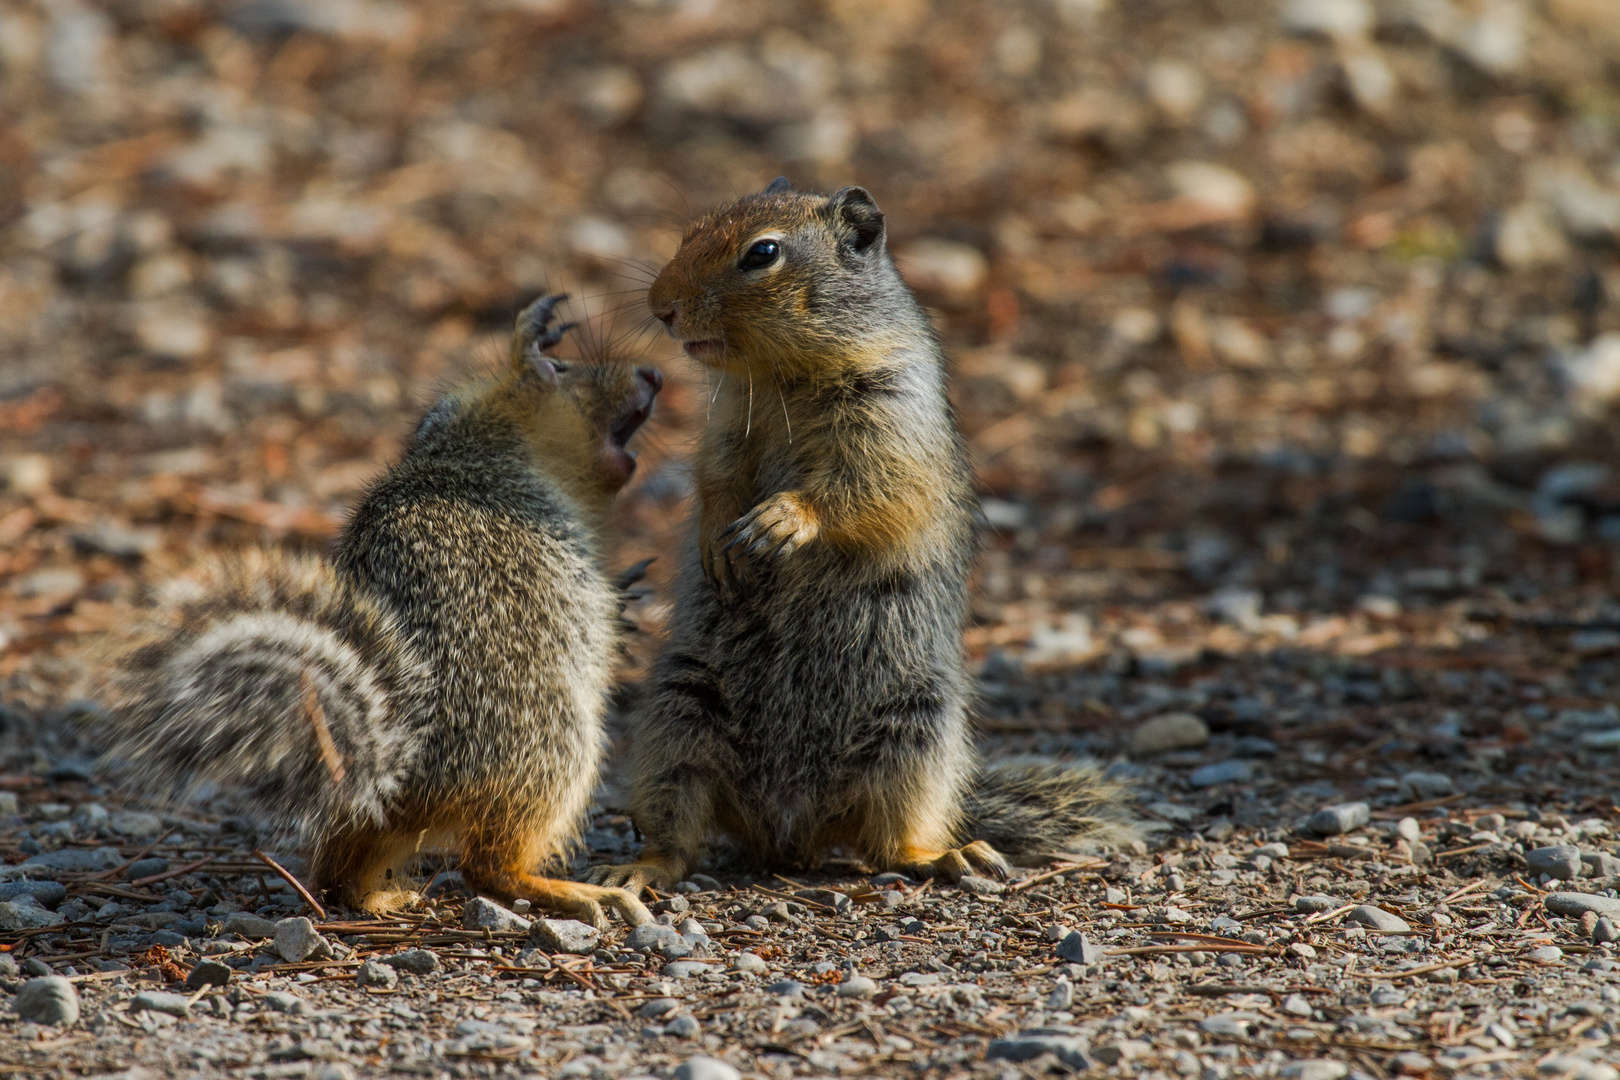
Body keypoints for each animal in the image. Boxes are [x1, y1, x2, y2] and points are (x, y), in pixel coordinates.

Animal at [107, 297, 657, 932]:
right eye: (568, 371)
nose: (653, 374)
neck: (478, 458)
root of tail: (392, 766)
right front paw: (531, 342)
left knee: (341, 869)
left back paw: (377, 897)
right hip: (555, 745)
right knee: (487, 866)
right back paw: (574, 893)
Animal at [589, 179, 1134, 893]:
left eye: (762, 253)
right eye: (691, 230)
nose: (662, 307)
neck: (783, 376)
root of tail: (790, 831)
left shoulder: (889, 418)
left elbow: (862, 489)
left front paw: (784, 519)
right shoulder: (725, 429)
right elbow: (713, 480)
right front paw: (716, 542)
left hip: (914, 736)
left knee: (887, 843)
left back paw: (947, 854)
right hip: (678, 719)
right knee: (677, 834)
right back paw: (637, 869)